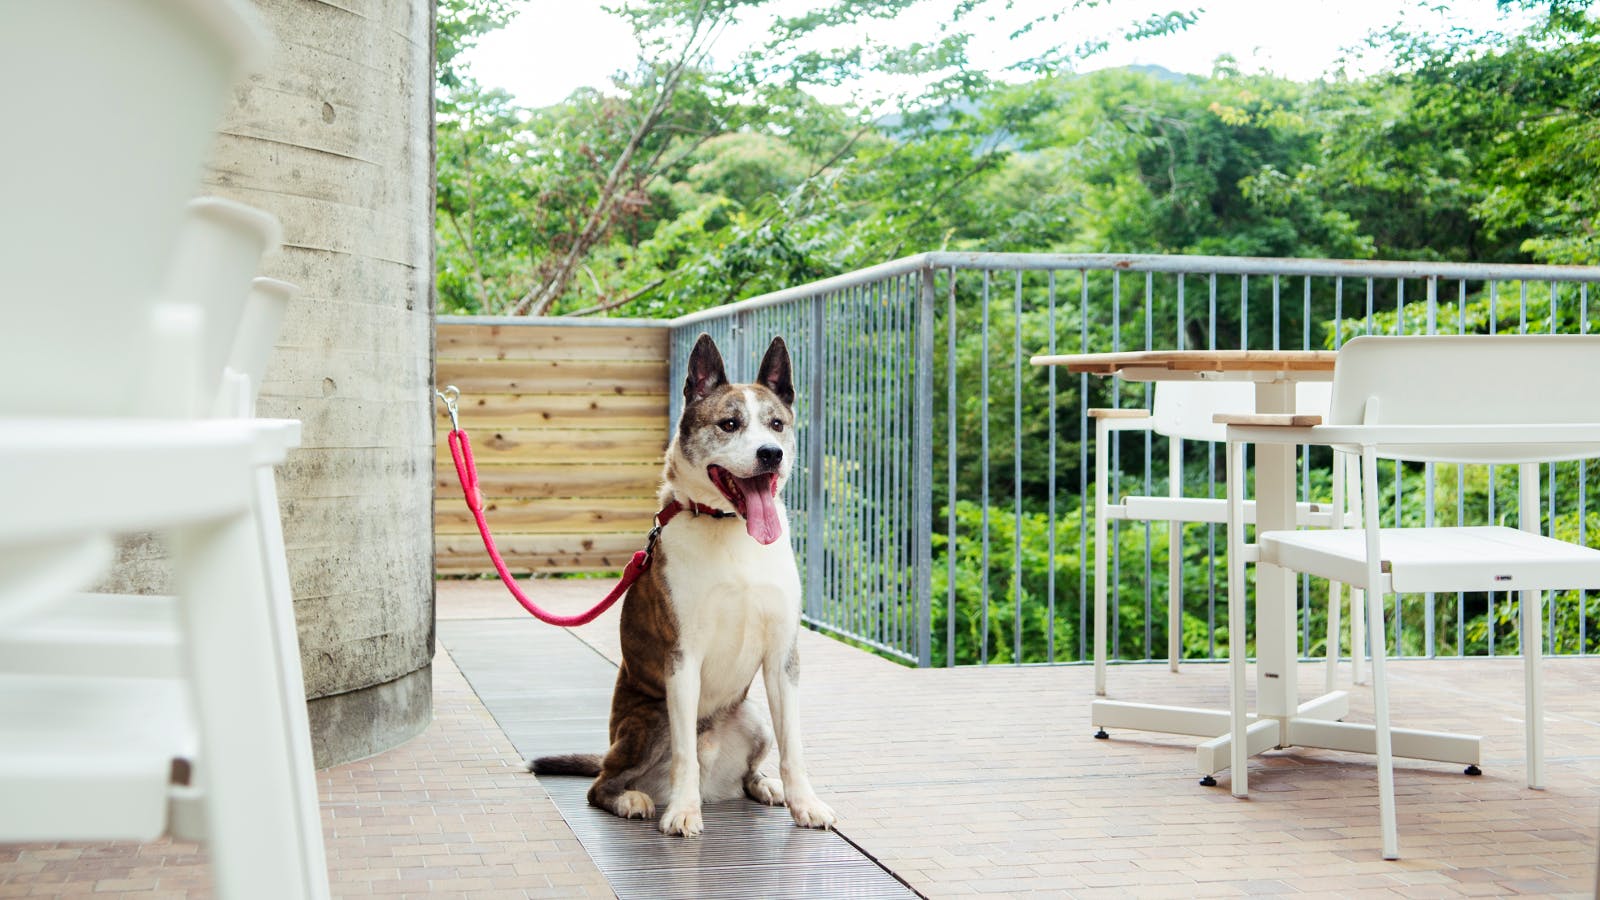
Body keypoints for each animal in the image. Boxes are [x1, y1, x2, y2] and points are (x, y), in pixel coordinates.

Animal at [534, 333, 838, 839]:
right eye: (729, 424)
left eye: (776, 424)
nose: (770, 454)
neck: (731, 530)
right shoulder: (682, 658)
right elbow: (683, 757)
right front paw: (683, 811)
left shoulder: (782, 657)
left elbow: (794, 746)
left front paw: (805, 803)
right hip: (652, 719)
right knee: (602, 784)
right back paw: (632, 798)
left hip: (753, 715)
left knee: (750, 767)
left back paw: (764, 785)